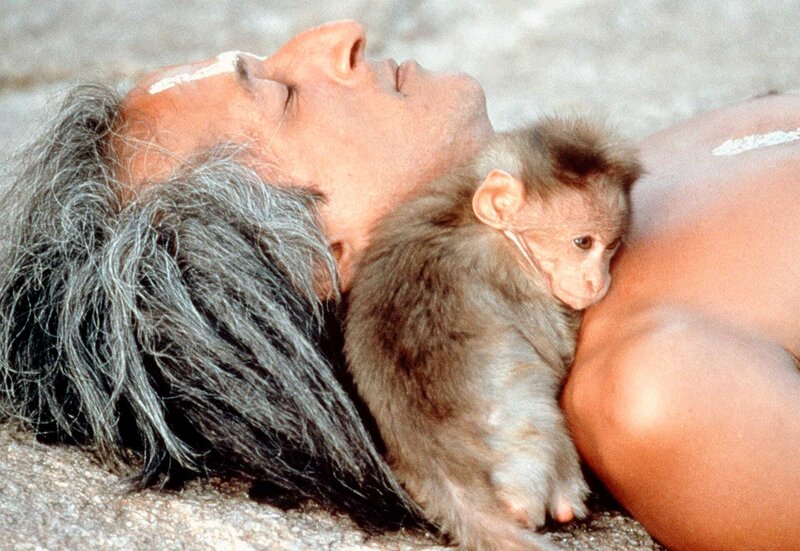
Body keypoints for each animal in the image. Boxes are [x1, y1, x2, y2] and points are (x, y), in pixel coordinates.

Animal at [344, 117, 642, 551]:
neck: (487, 225)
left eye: (611, 246)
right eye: (582, 242)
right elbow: (559, 350)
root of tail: (448, 472)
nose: (597, 281)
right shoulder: (517, 277)